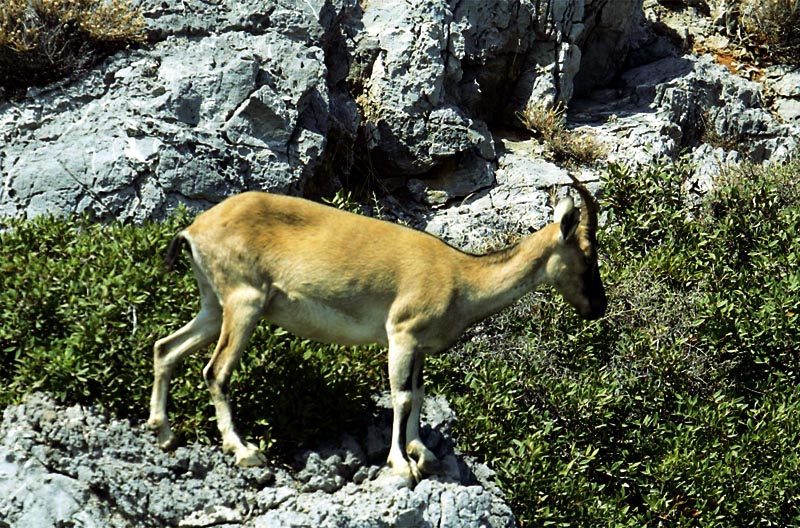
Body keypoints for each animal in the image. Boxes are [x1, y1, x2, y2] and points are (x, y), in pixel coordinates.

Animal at [147, 177, 608, 482]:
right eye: (587, 256)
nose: (597, 308)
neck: (462, 277)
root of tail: (194, 229)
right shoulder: (401, 334)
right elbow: (400, 397)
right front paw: (401, 464)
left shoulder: (418, 348)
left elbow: (418, 396)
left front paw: (424, 454)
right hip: (244, 303)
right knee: (216, 371)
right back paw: (243, 452)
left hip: (213, 306)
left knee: (166, 347)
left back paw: (164, 434)